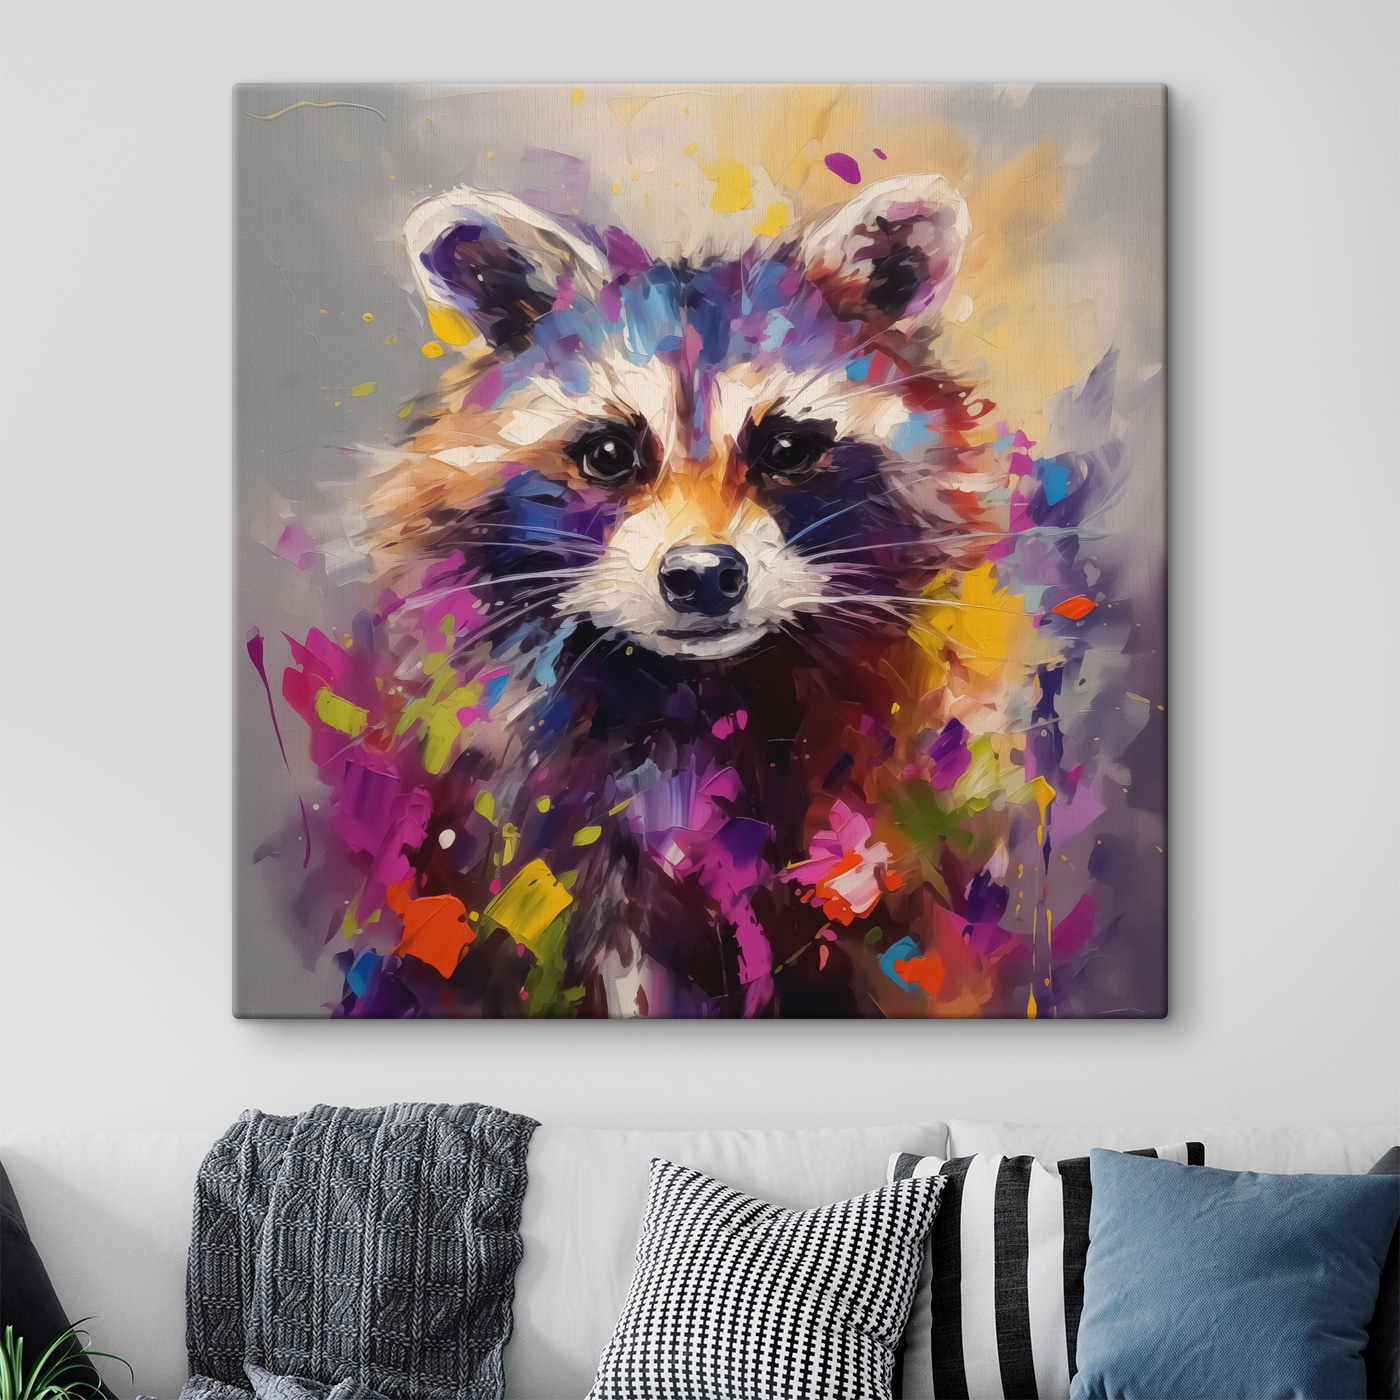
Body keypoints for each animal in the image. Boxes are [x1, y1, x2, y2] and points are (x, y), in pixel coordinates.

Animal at [287, 173, 1048, 1019]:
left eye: (787, 448)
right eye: (608, 454)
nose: (704, 574)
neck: (699, 690)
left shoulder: (880, 819)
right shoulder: (571, 832)